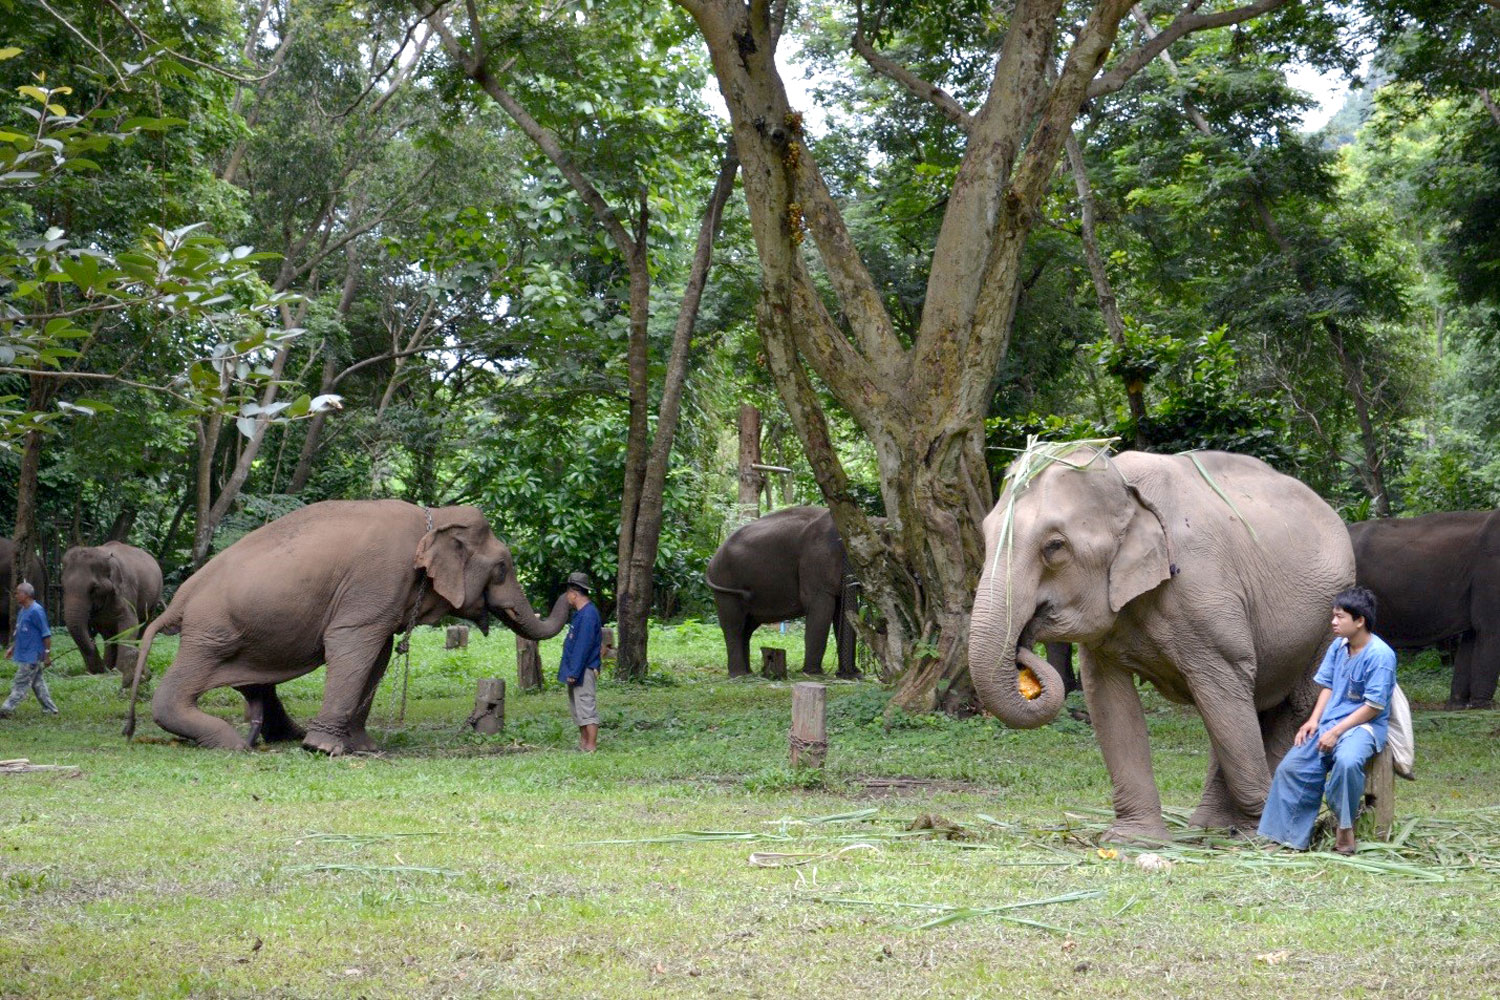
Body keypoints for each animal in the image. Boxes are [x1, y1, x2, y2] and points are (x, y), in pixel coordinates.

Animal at [61, 541, 163, 685]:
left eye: (93, 588)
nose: (92, 640)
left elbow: (131, 624)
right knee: (109, 635)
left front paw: (119, 672)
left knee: (143, 625)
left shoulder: (125, 591)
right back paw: (109, 665)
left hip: (155, 597)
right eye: (63, 586)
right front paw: (98, 672)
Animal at [124, 500, 570, 754]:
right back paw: (235, 745)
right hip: (210, 632)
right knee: (177, 690)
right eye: (503, 567)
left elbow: (379, 654)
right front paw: (323, 749)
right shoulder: (378, 579)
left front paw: (362, 747)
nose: (574, 585)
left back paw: (277, 737)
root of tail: (178, 601)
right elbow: (353, 644)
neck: (435, 518)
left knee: (255, 683)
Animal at [705, 506, 858, 678]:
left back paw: (748, 673)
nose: (847, 673)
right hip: (725, 585)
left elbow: (843, 611)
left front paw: (854, 675)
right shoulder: (814, 561)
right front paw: (814, 674)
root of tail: (711, 561)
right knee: (734, 625)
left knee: (747, 628)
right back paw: (739, 675)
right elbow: (820, 606)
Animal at [968, 445, 1354, 843]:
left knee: (1287, 705)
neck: (1124, 483)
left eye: (1055, 546)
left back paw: (1251, 828)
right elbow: (1108, 700)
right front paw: (1131, 839)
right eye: (986, 534)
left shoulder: (1206, 595)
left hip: (1329, 619)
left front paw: (1261, 835)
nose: (1023, 642)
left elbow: (1224, 693)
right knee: (1252, 704)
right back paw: (1211, 827)